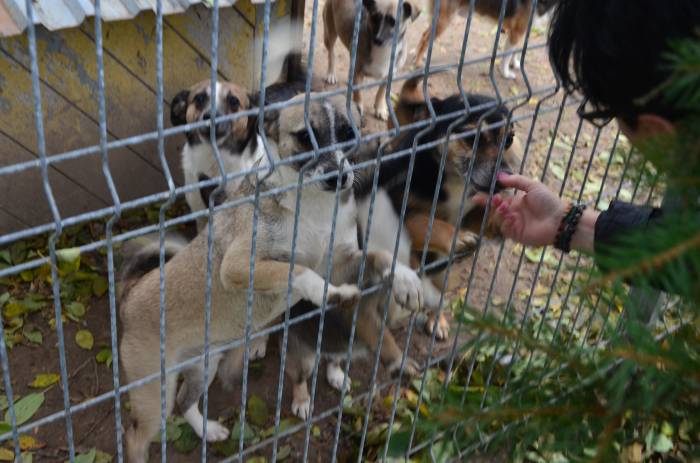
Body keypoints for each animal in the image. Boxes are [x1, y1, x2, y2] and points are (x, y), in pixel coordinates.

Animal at [356, 78, 520, 340]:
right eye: (470, 137)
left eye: (510, 140)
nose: (506, 178)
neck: (452, 179)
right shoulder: (398, 211)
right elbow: (426, 222)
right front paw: (457, 237)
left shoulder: (470, 213)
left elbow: (485, 216)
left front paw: (508, 216)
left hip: (444, 275)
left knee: (439, 295)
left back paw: (438, 320)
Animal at [412, 0, 556, 79]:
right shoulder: (516, 32)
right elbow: (507, 56)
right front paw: (505, 73)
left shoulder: (522, 32)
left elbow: (516, 51)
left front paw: (515, 64)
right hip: (444, 19)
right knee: (425, 38)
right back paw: (418, 63)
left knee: (425, 36)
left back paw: (421, 56)